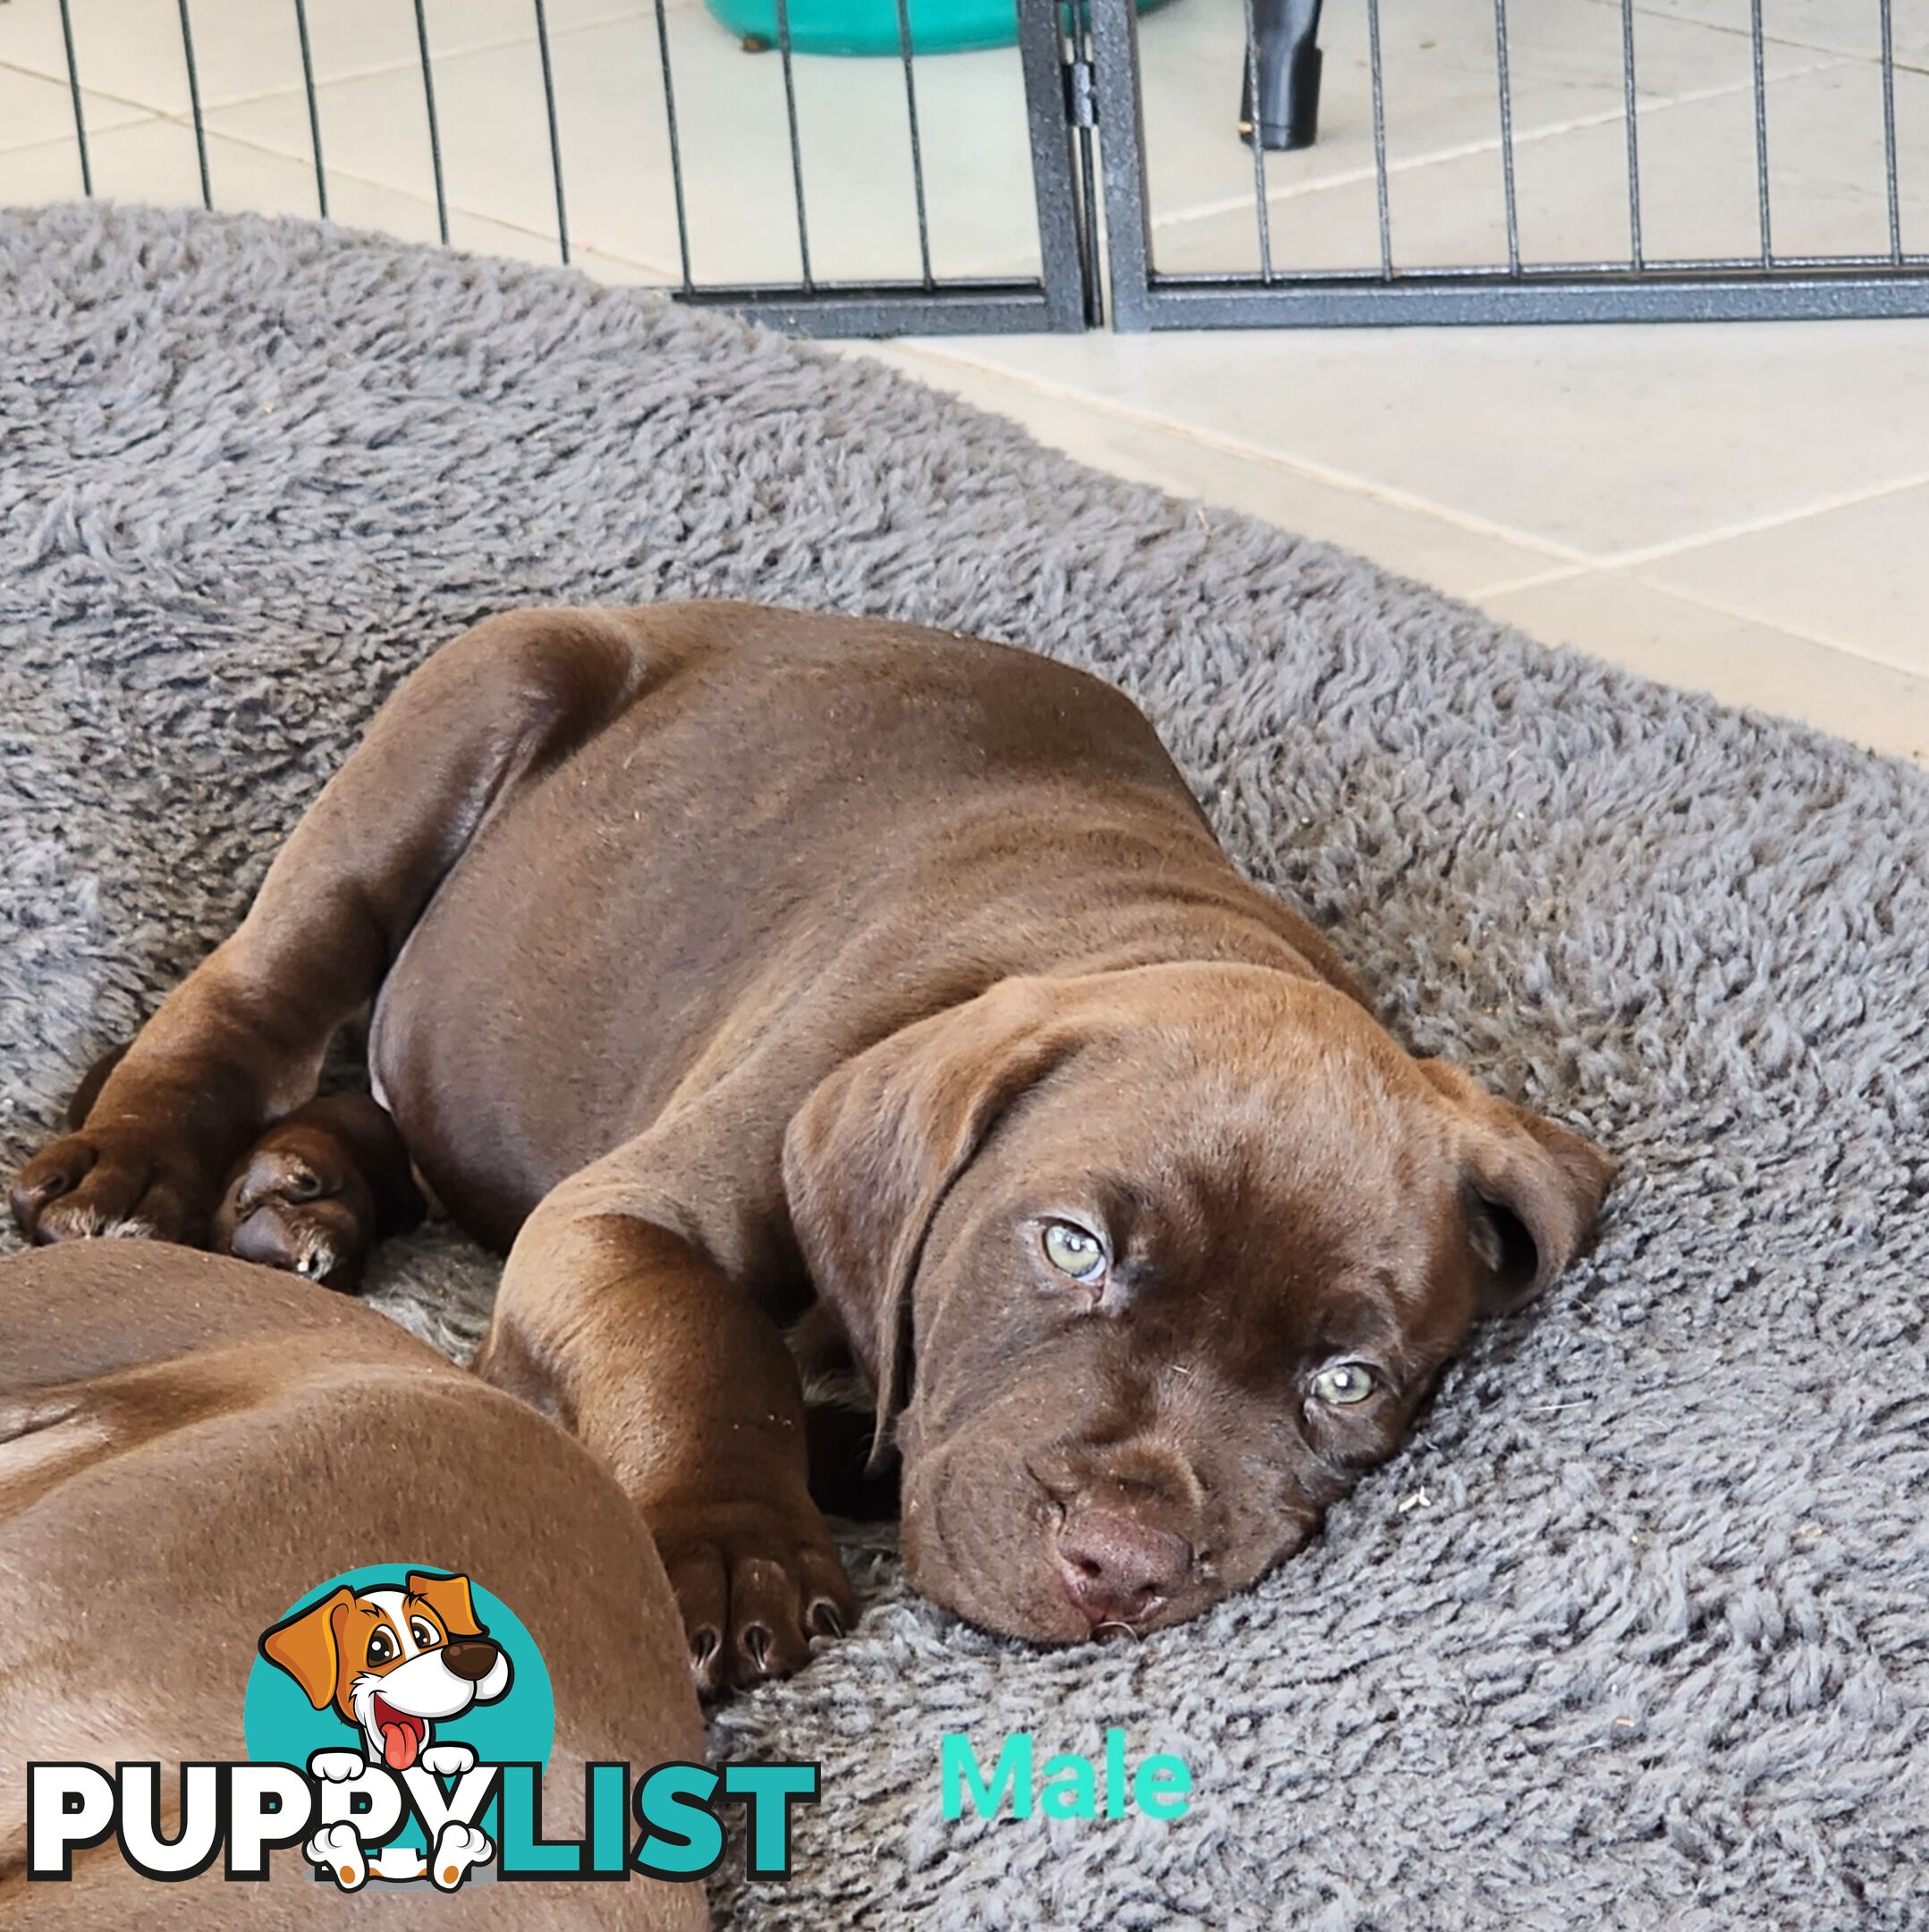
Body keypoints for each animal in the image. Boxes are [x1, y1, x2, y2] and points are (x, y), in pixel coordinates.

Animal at [11, 602, 1614, 1692]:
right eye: (1072, 1247)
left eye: (1346, 1382)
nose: (1122, 1571)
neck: (1151, 927)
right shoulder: (620, 1220)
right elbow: (698, 1341)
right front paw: (734, 1547)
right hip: (473, 702)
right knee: (251, 990)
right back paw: (133, 1172)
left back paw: (307, 1195)